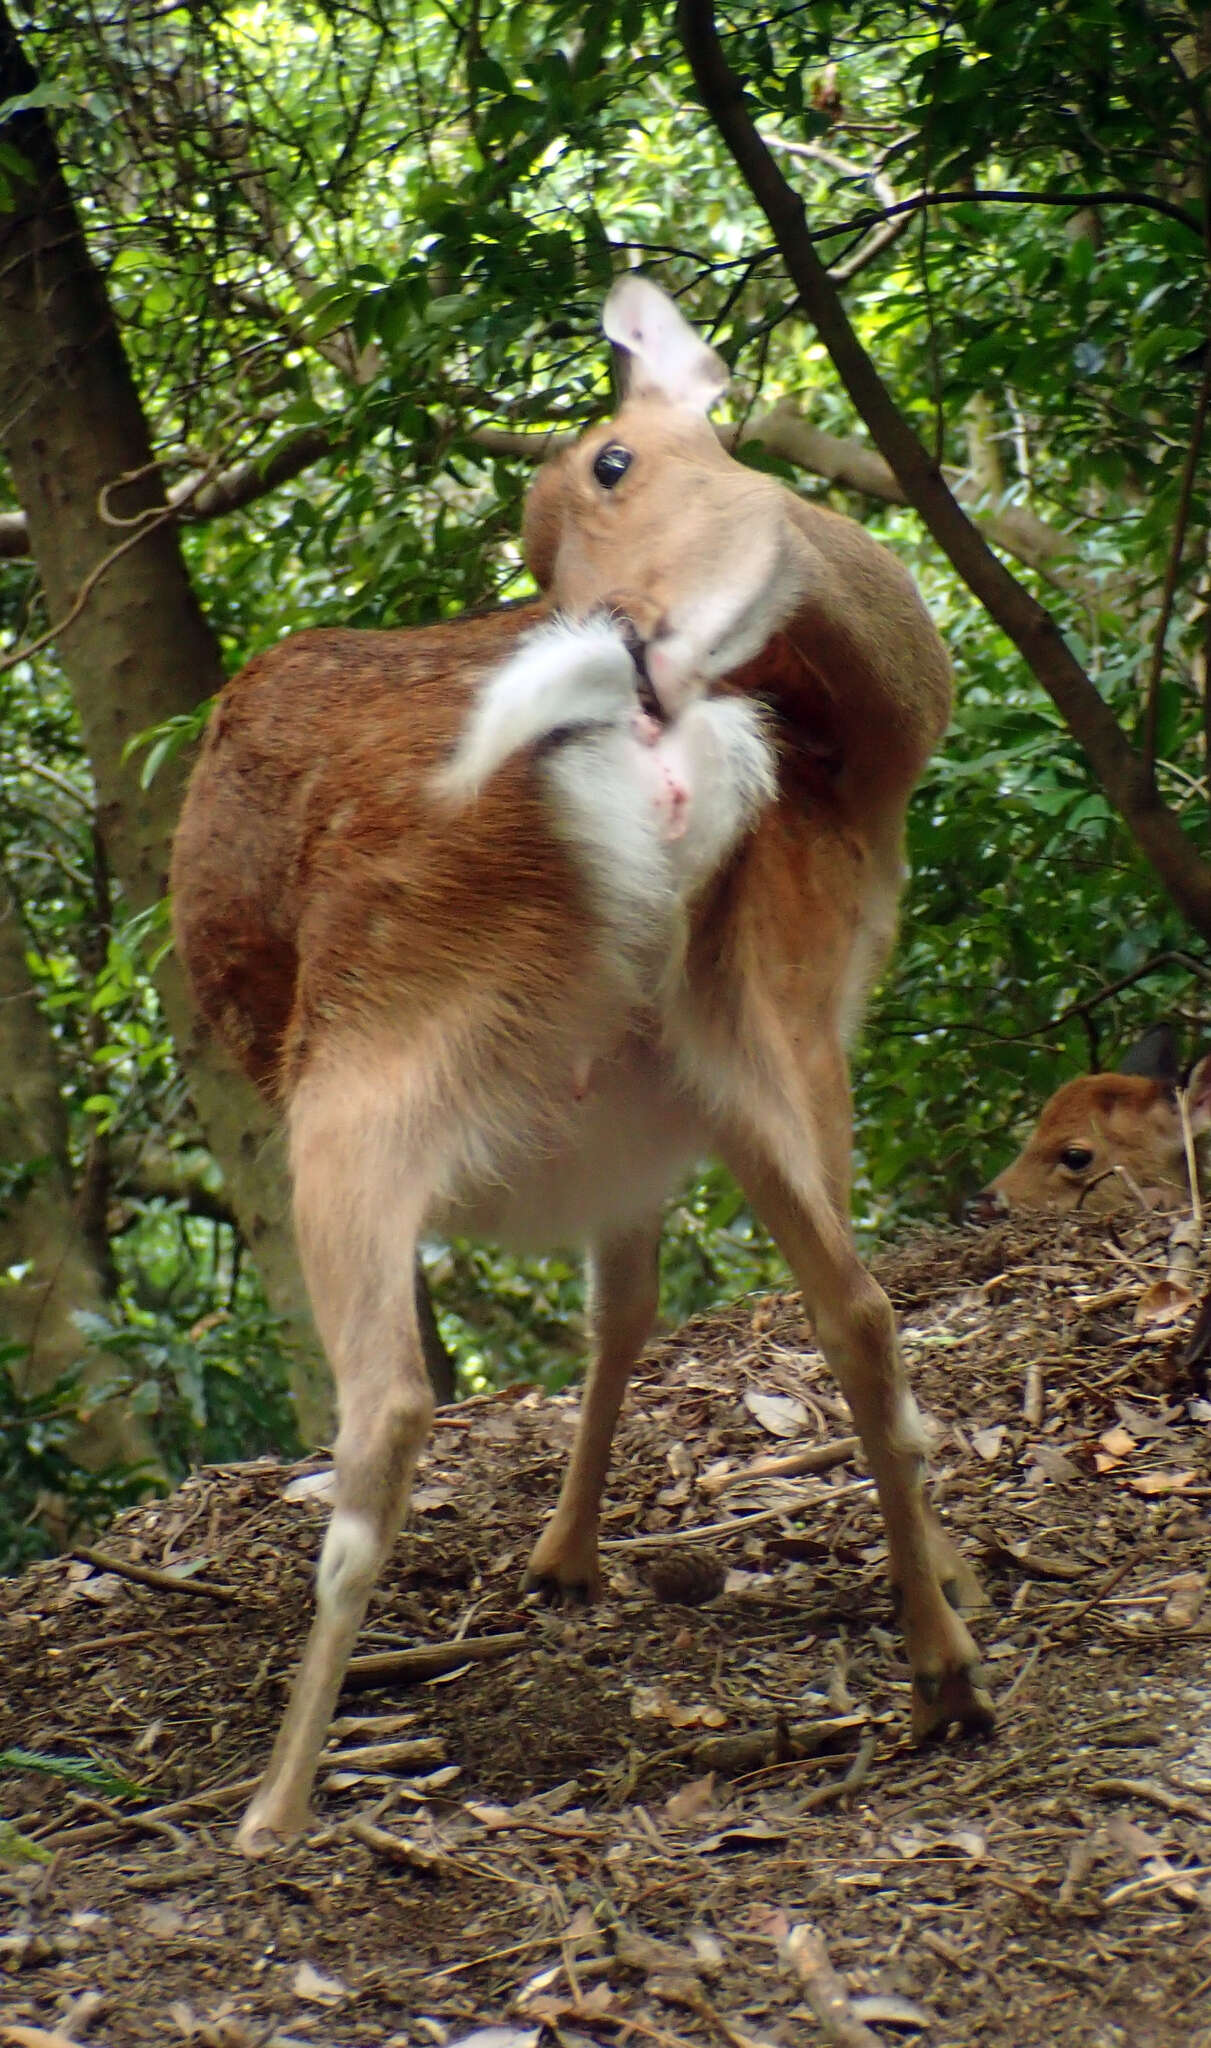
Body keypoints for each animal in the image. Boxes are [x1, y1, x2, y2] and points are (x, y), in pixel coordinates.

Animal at [170, 272, 995, 1859]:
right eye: (534, 543)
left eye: (610, 462)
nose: (616, 638)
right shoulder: (685, 1107)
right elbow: (630, 1315)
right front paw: (566, 1559)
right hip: (750, 1049)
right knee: (860, 1315)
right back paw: (944, 1673)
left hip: (370, 1077)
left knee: (389, 1406)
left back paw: (274, 1807)